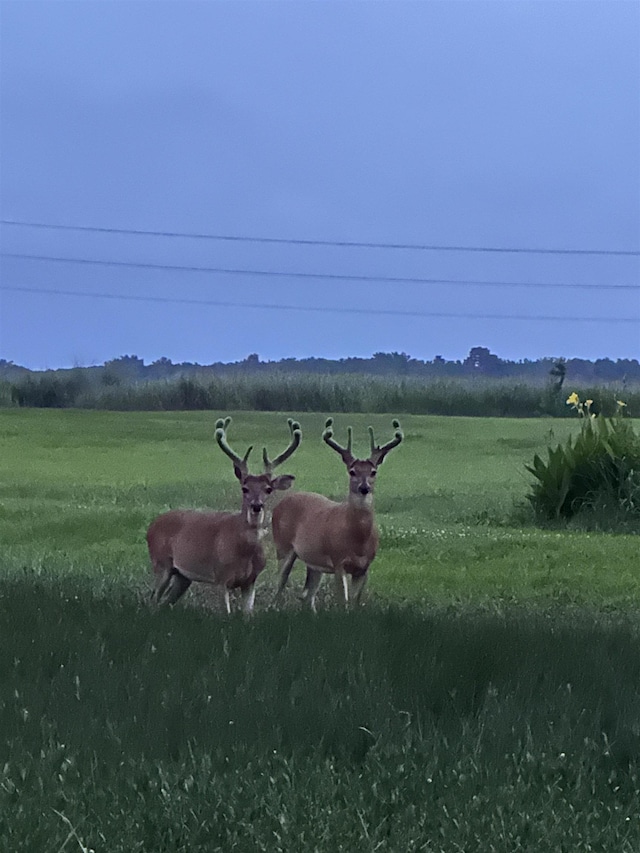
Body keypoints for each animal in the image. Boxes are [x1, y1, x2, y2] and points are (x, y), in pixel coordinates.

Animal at [148, 414, 302, 608]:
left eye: (268, 489)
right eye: (244, 488)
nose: (256, 506)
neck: (243, 551)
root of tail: (152, 525)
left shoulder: (251, 581)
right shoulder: (221, 577)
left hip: (183, 575)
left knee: (165, 602)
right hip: (161, 564)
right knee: (153, 599)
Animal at [272, 416, 402, 608]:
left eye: (373, 471)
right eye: (352, 471)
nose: (364, 488)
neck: (358, 539)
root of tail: (281, 503)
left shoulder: (364, 568)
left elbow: (354, 603)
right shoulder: (338, 561)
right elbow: (343, 602)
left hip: (314, 562)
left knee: (307, 596)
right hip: (283, 546)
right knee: (279, 585)